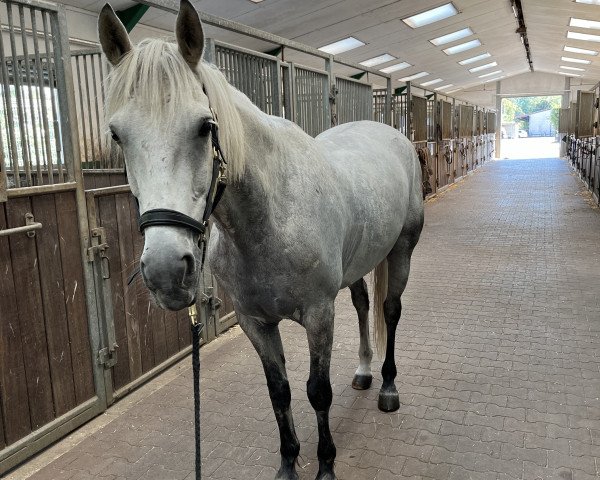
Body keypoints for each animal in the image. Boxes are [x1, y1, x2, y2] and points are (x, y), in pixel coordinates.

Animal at [98, 1, 424, 478]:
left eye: (205, 126)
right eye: (116, 134)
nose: (165, 271)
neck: (270, 218)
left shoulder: (319, 315)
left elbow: (317, 391)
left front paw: (326, 465)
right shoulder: (256, 322)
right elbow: (279, 392)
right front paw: (288, 463)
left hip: (402, 250)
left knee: (390, 310)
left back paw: (387, 387)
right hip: (357, 263)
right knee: (364, 305)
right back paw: (364, 371)